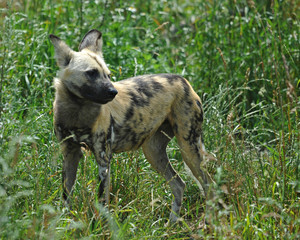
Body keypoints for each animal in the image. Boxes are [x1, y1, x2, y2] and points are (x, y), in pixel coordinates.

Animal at [49, 30, 213, 223]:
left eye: (108, 75)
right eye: (91, 73)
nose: (113, 92)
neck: (77, 112)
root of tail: (183, 80)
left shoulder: (103, 159)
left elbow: (101, 201)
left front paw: (97, 226)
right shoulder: (70, 154)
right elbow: (66, 195)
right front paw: (62, 223)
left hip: (189, 149)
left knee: (209, 185)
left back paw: (208, 223)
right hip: (153, 152)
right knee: (179, 185)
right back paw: (171, 225)